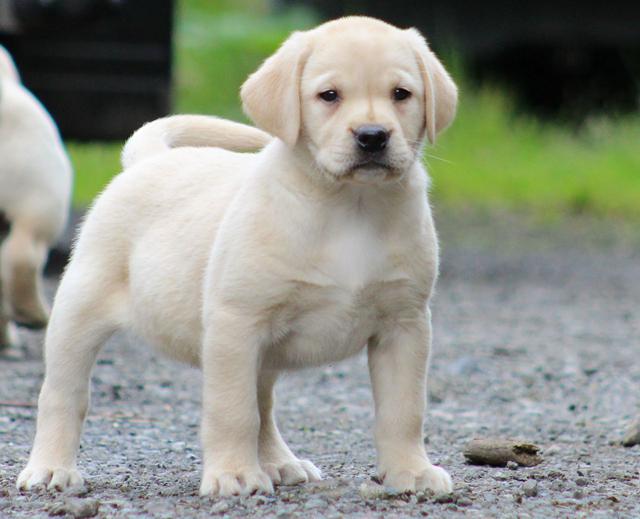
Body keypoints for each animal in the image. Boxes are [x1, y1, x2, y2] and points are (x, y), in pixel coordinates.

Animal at [17, 15, 458, 496]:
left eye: (401, 94)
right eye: (329, 96)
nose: (373, 136)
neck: (350, 207)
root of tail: (149, 160)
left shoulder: (405, 325)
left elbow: (404, 410)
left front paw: (410, 471)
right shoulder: (237, 323)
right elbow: (233, 410)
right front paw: (234, 474)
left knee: (264, 405)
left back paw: (281, 462)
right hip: (79, 311)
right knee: (63, 394)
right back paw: (50, 468)